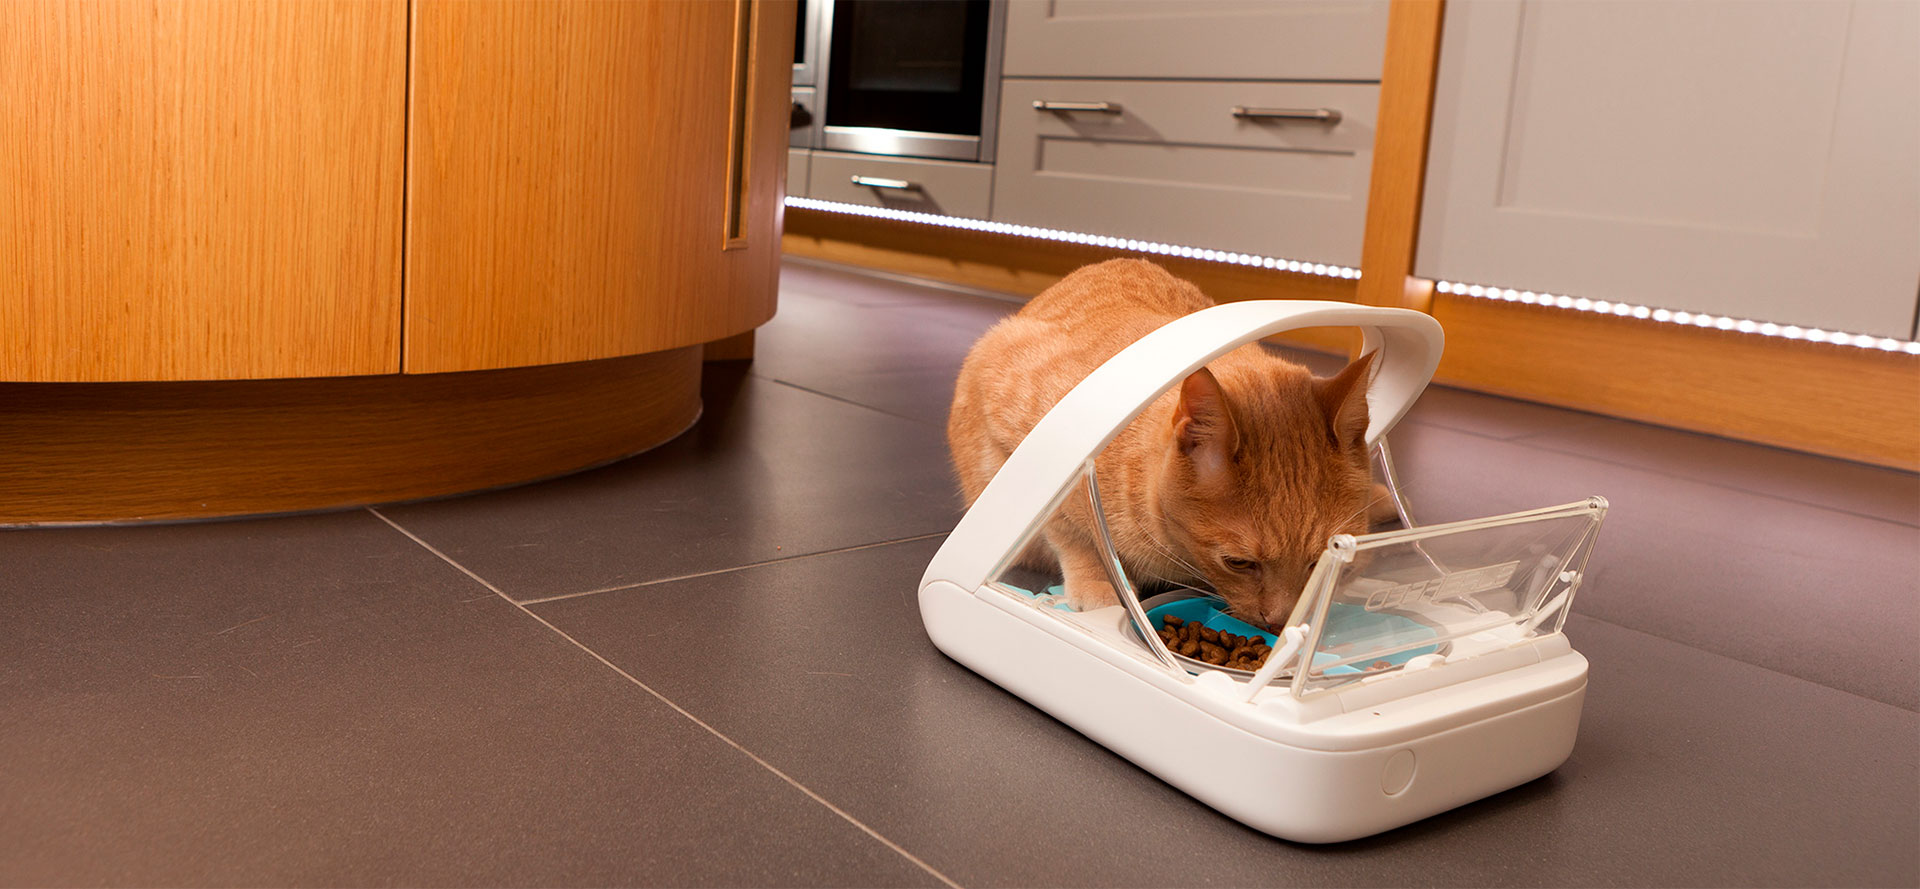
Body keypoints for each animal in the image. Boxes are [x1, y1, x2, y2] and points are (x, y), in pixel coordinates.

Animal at [948, 259, 1382, 633]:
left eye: (1320, 562)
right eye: (1238, 562)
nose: (1279, 621)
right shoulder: (1015, 426)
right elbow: (1069, 530)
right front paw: (1097, 585)